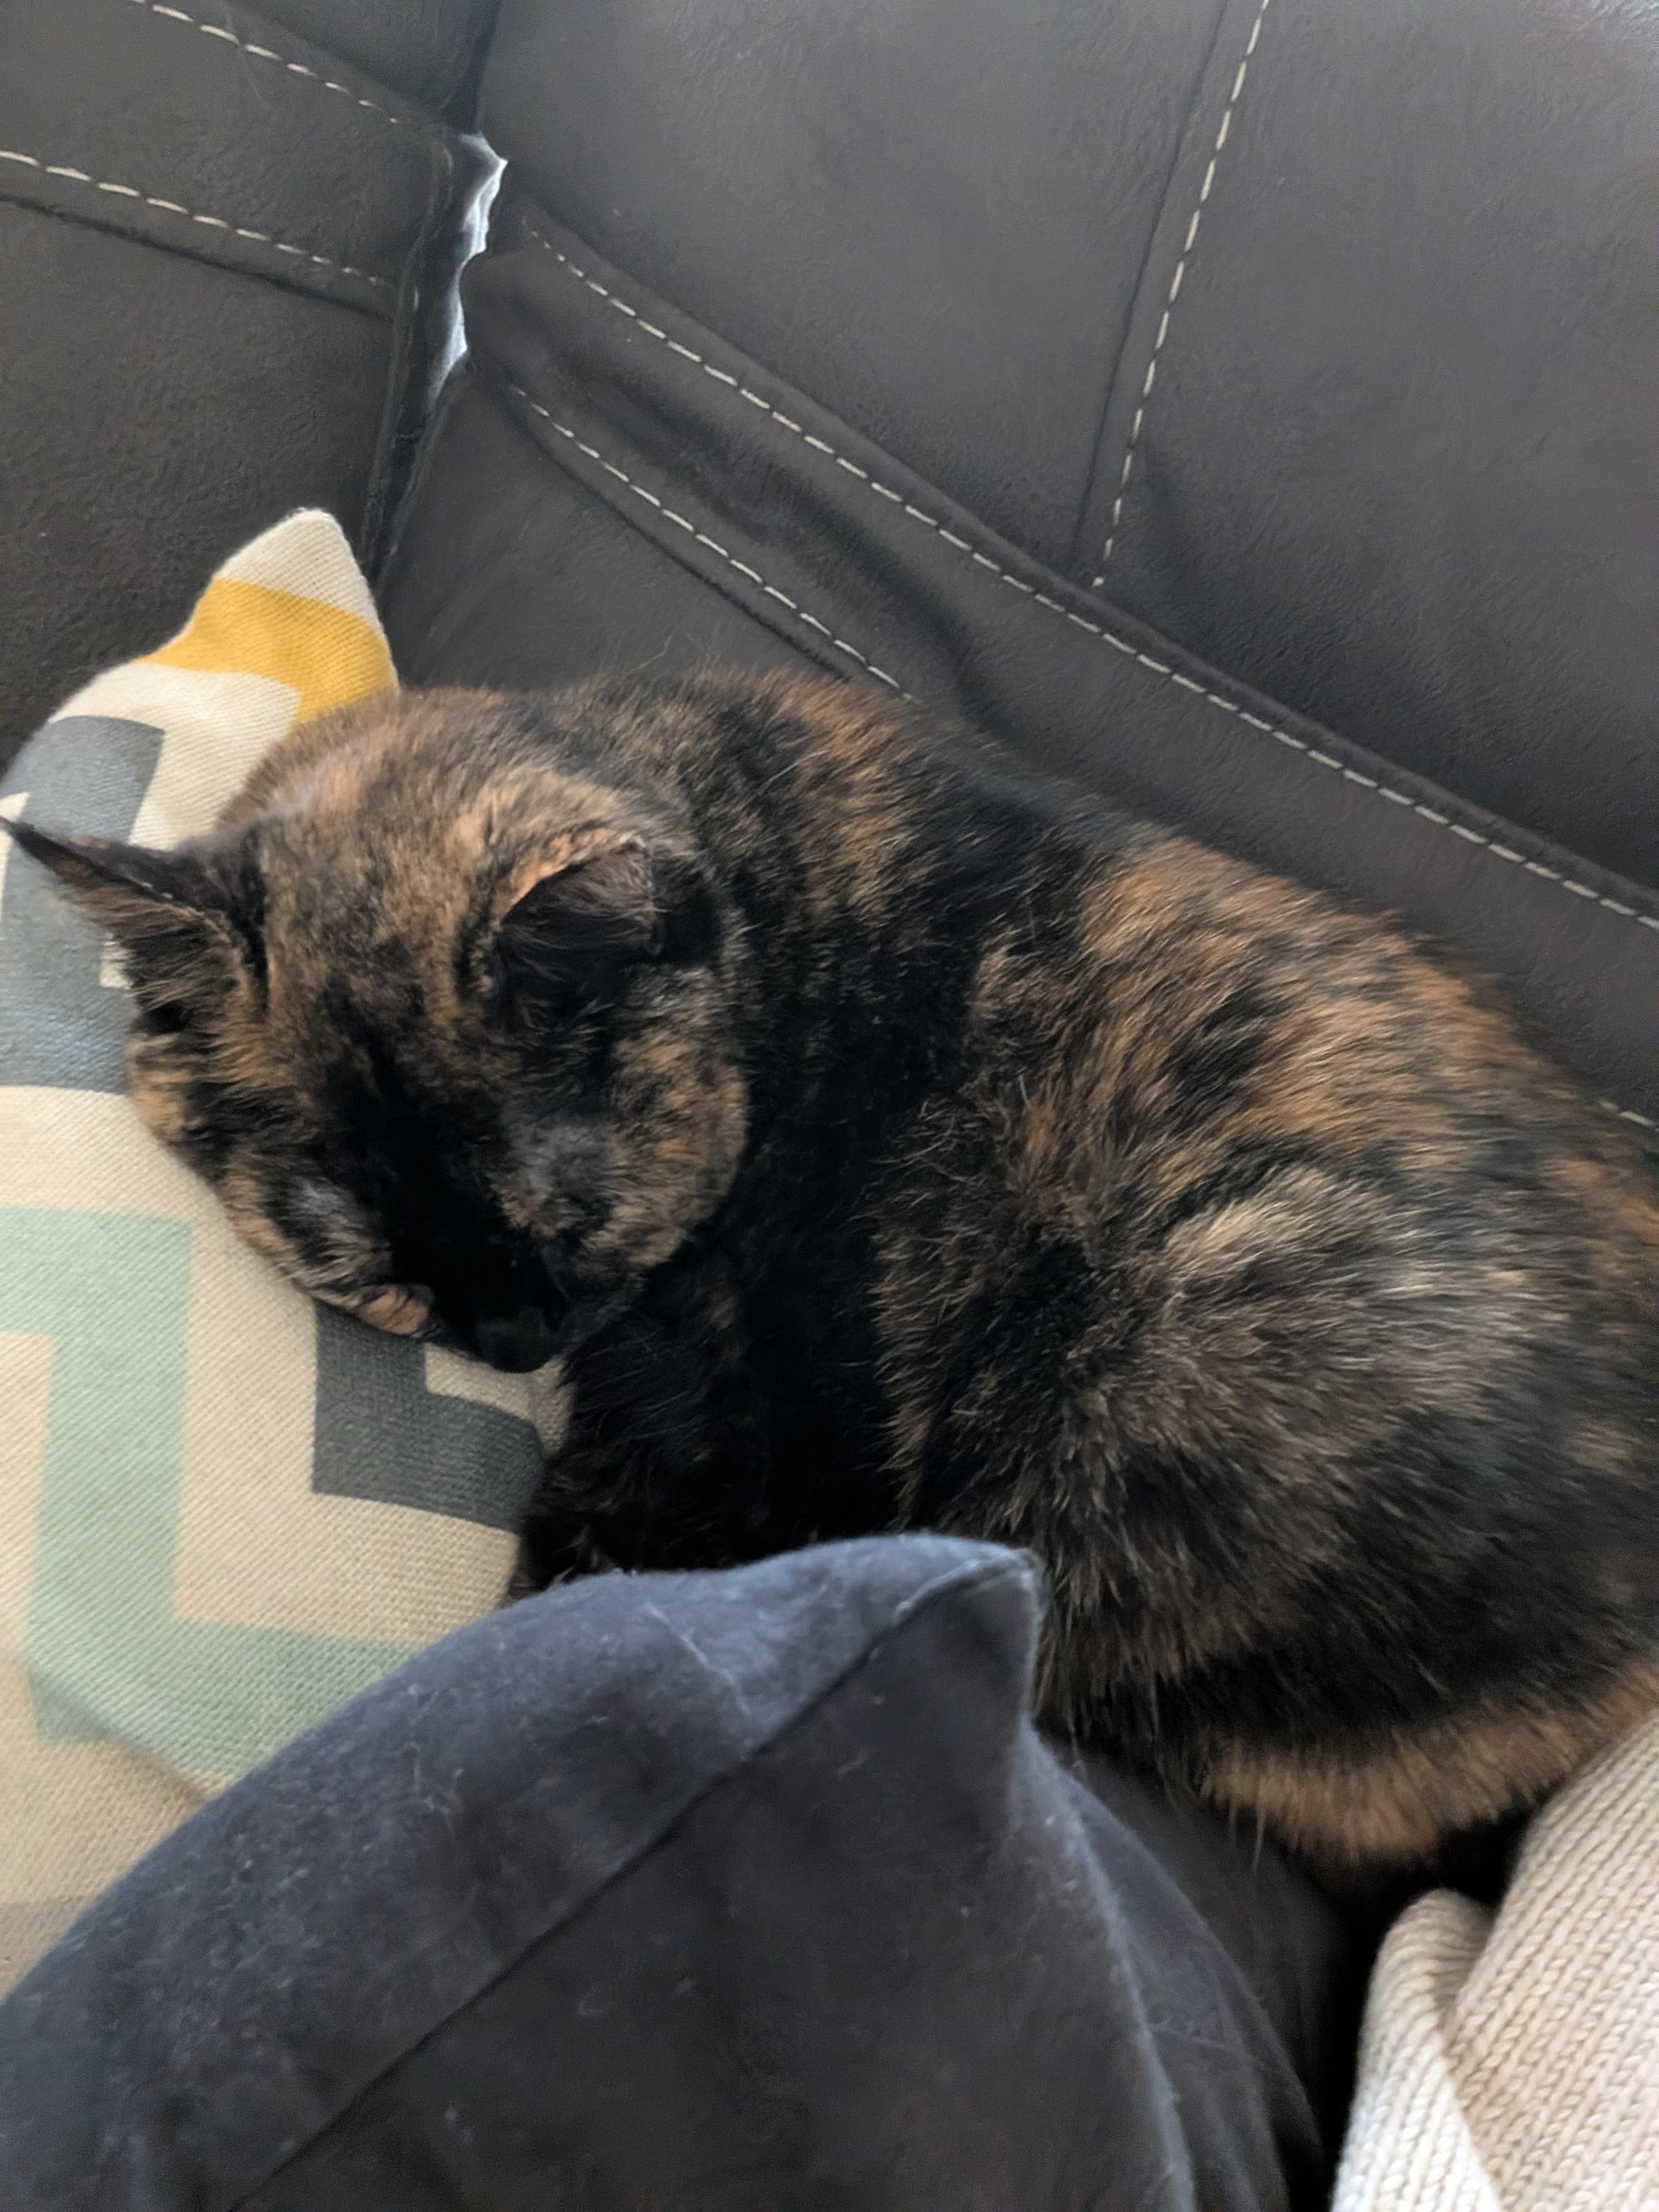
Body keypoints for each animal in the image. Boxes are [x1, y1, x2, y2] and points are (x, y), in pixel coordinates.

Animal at [10, 670, 1657, 1866]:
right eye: (365, 1270)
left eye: (570, 1216)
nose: (508, 1338)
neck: (751, 893)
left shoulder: (749, 1418)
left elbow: (599, 1564)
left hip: (1184, 1344)